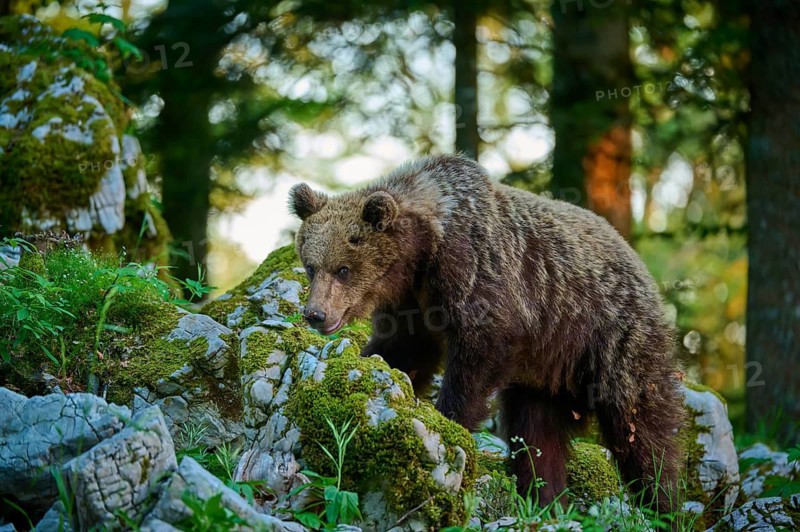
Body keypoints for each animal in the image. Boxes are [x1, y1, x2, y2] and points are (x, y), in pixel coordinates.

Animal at [288, 154, 684, 511]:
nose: (316, 314)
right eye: (311, 266)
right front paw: (370, 364)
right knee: (536, 433)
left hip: (612, 338)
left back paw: (661, 501)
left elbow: (477, 354)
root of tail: (640, 265)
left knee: (638, 426)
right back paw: (543, 497)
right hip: (545, 369)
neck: (424, 249)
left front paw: (449, 419)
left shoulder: (477, 272)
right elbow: (406, 349)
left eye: (342, 268)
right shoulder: (410, 301)